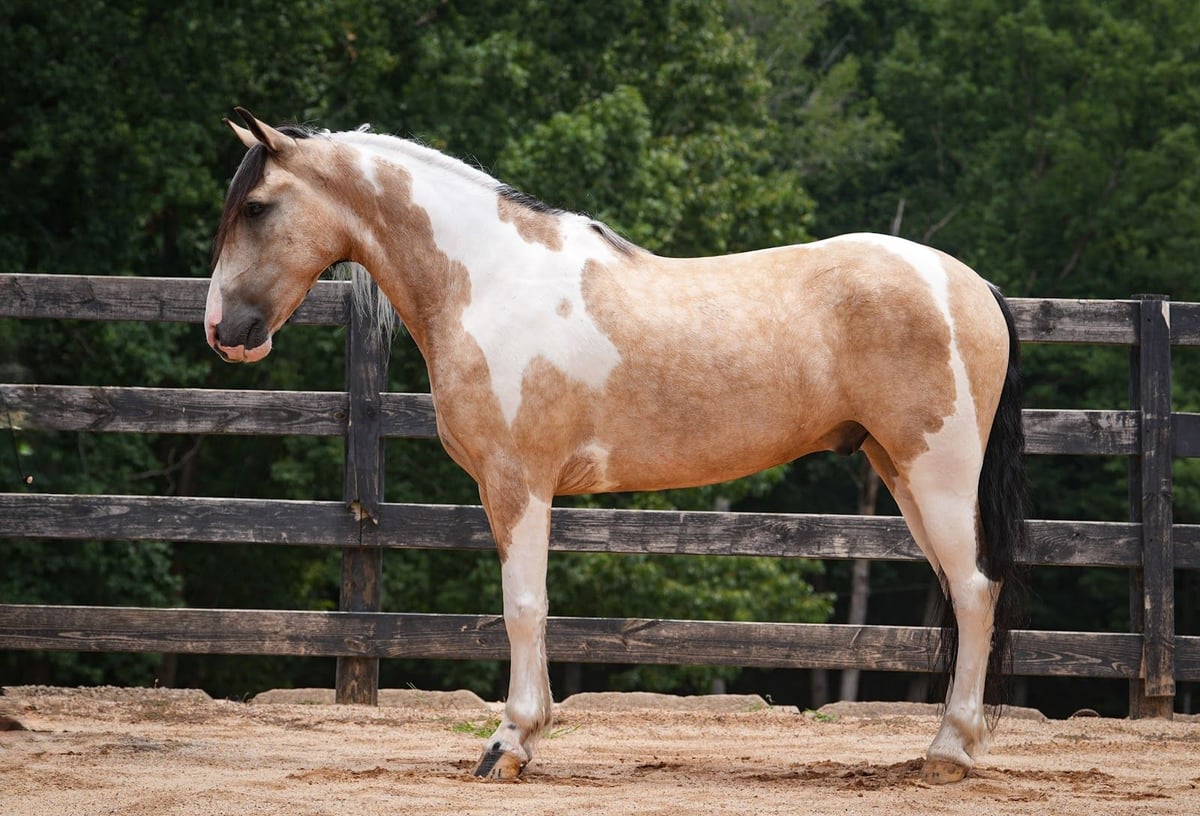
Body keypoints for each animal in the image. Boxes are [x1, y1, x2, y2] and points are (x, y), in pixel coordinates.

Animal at [205, 108, 1027, 784]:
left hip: (937, 472)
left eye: (256, 206)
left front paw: (508, 744)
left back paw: (949, 752)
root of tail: (971, 285)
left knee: (975, 590)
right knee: (963, 592)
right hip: (900, 472)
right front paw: (528, 737)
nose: (223, 331)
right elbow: (534, 609)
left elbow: (523, 606)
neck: (491, 280)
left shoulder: (517, 482)